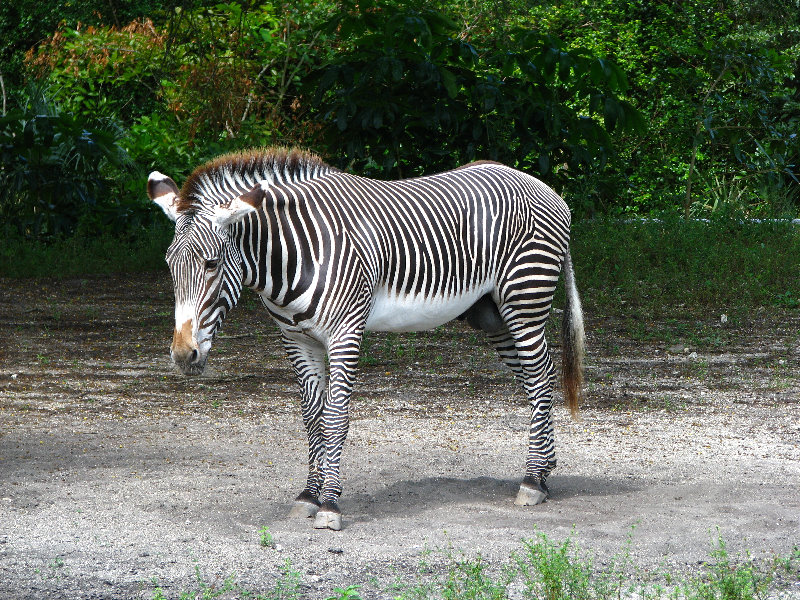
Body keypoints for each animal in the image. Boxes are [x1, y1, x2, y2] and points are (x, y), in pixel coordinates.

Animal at [150, 148, 584, 532]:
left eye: (211, 264)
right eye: (169, 264)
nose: (183, 355)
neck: (295, 255)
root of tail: (543, 186)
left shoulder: (345, 333)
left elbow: (335, 417)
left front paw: (329, 505)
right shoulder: (297, 339)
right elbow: (312, 417)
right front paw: (309, 495)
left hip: (524, 300)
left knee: (541, 377)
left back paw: (533, 481)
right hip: (493, 316)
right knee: (536, 377)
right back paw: (544, 471)